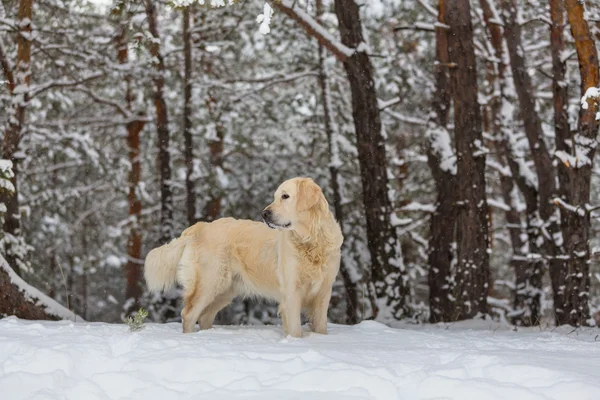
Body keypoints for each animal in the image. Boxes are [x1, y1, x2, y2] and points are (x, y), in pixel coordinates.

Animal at [143, 177, 342, 336]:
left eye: (285, 196)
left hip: (225, 291)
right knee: (188, 314)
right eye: (275, 197)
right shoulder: (292, 291)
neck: (311, 240)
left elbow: (321, 325)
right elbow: (295, 329)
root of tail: (200, 226)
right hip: (209, 283)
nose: (264, 214)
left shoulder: (324, 292)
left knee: (205, 316)